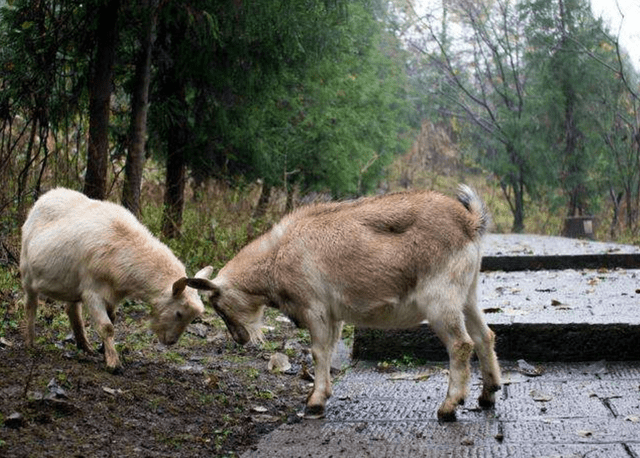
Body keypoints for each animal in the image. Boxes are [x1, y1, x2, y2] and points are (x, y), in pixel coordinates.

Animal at [20, 188, 214, 370]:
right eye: (179, 313)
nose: (171, 342)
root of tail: (48, 194)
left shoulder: (112, 294)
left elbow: (112, 319)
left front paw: (103, 351)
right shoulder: (92, 292)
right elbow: (107, 327)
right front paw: (113, 363)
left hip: (71, 283)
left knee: (72, 309)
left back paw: (85, 346)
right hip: (27, 273)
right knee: (31, 306)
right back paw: (30, 342)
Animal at [200, 184, 500, 420]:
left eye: (218, 305)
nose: (239, 338)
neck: (277, 255)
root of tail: (469, 222)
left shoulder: (315, 307)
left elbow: (318, 352)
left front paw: (314, 403)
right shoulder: (334, 315)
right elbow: (329, 350)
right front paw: (319, 396)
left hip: (441, 299)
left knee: (461, 344)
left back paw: (449, 407)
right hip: (467, 294)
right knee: (484, 336)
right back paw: (488, 395)